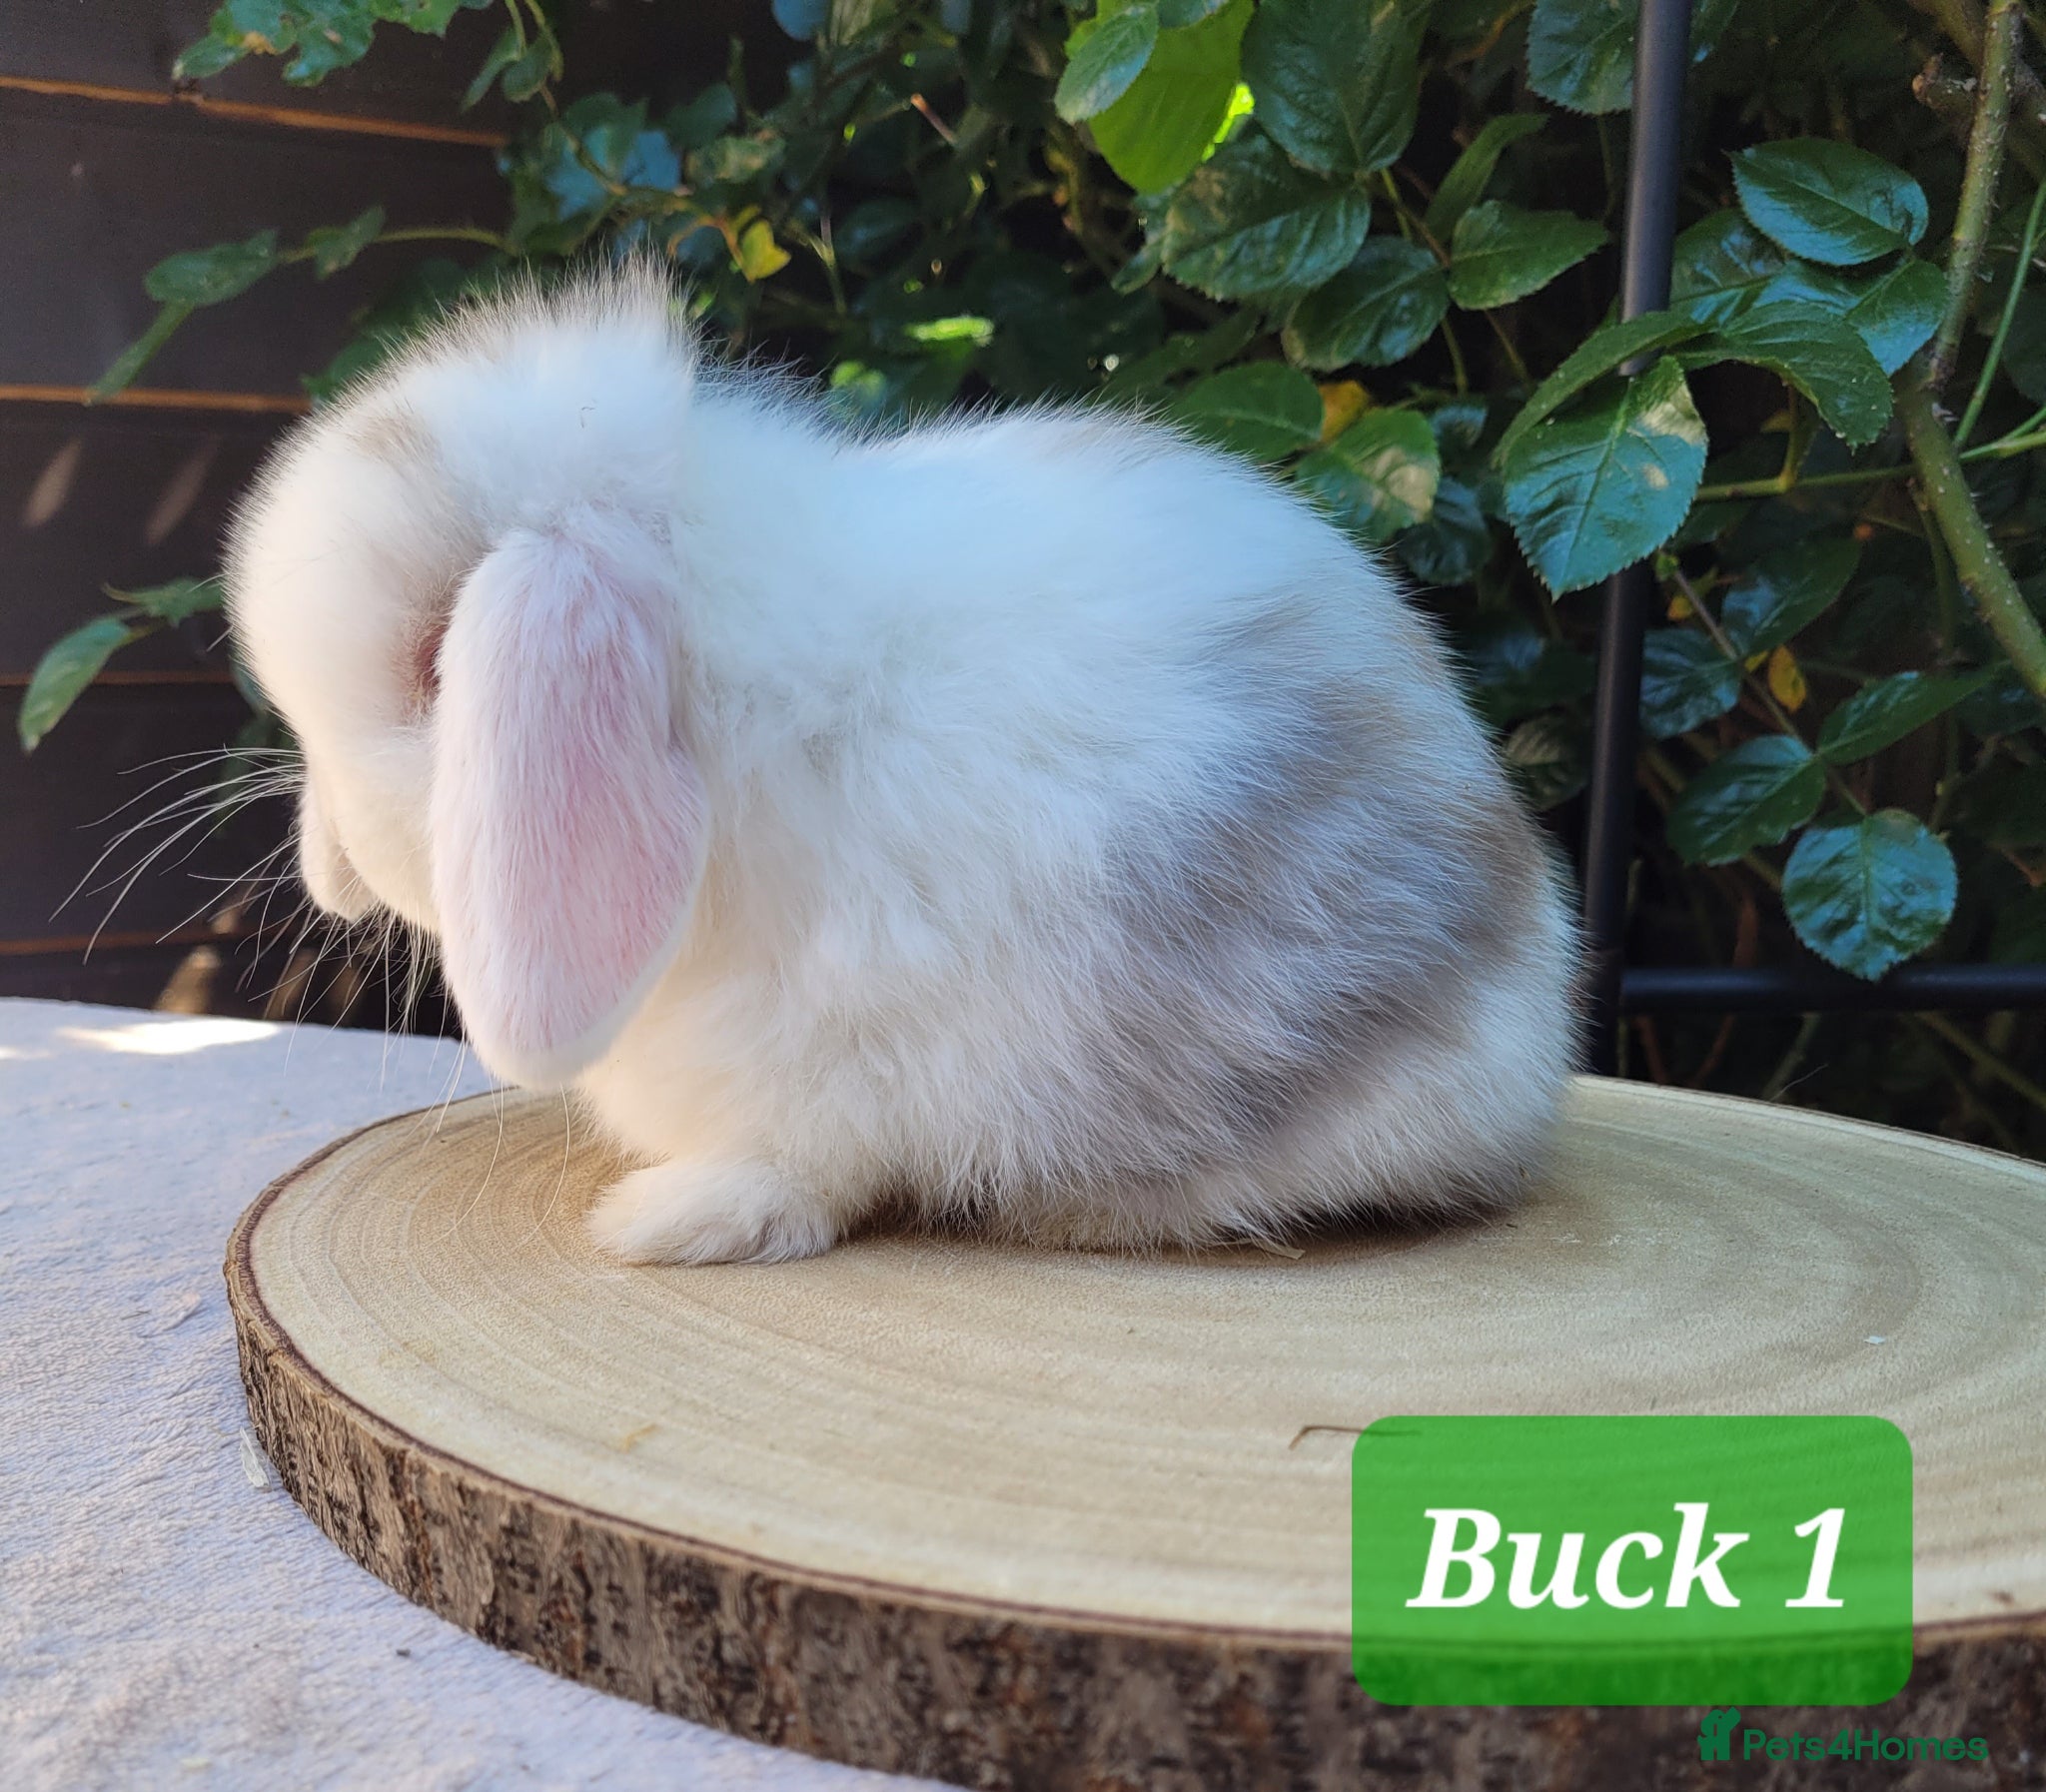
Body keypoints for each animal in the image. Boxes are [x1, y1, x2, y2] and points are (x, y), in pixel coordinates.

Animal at [226, 262, 1581, 1266]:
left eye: (433, 664)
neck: (748, 708)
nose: (333, 866)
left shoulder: (833, 1057)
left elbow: (802, 1167)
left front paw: (662, 1223)